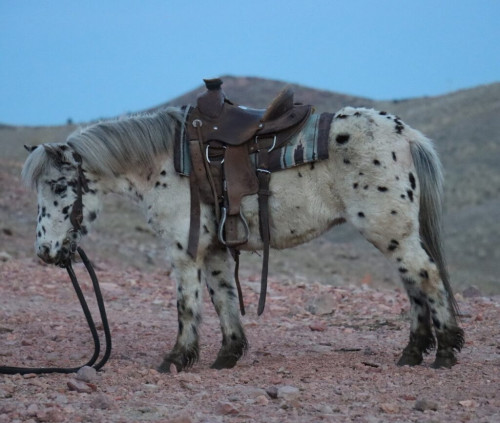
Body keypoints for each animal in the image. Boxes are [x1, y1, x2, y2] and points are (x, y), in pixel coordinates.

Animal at [21, 105, 464, 371]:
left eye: (59, 186)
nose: (45, 251)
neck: (166, 158)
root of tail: (406, 135)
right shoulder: (216, 250)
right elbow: (223, 299)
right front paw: (227, 354)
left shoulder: (184, 252)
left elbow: (187, 305)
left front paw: (176, 358)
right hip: (394, 234)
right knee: (413, 282)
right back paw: (412, 352)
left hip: (390, 231)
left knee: (426, 276)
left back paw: (445, 350)